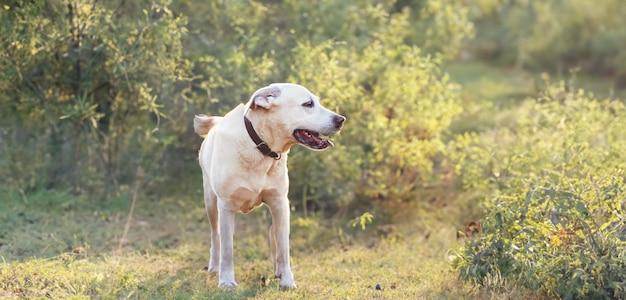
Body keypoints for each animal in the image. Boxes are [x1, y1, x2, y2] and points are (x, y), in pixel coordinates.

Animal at [193, 82, 344, 288]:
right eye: (308, 104)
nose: (341, 119)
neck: (260, 147)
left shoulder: (280, 203)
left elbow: (283, 248)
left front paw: (287, 280)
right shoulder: (226, 206)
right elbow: (227, 249)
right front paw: (226, 281)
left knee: (274, 237)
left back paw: (278, 271)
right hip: (210, 202)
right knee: (215, 237)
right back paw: (214, 268)